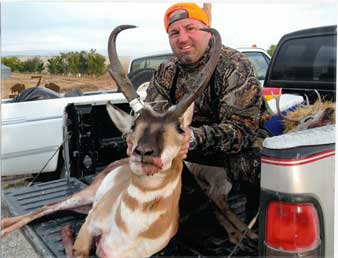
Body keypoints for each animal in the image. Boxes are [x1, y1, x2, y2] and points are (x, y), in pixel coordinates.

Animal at [0, 25, 222, 258]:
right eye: (134, 125)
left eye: (180, 128)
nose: (143, 152)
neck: (130, 229)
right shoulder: (88, 227)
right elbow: (77, 250)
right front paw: (68, 233)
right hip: (86, 195)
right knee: (46, 207)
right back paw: (4, 227)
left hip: (85, 204)